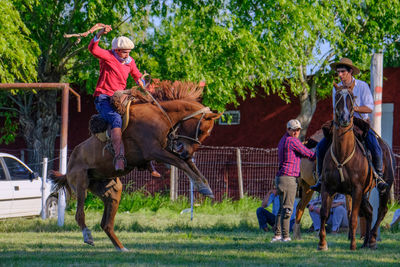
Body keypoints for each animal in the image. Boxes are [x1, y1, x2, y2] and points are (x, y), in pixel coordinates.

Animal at [49, 81, 222, 251]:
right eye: (202, 130)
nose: (187, 152)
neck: (159, 116)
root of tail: (68, 168)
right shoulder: (154, 151)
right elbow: (181, 163)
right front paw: (202, 187)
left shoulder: (166, 151)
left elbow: (189, 164)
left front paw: (206, 188)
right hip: (81, 185)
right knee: (80, 215)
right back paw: (88, 236)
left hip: (112, 190)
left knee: (106, 224)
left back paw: (121, 248)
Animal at [318, 82, 396, 251]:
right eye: (337, 96)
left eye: (352, 97)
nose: (344, 118)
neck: (343, 153)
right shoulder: (327, 187)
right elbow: (324, 213)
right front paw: (322, 244)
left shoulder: (357, 189)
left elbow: (353, 217)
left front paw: (352, 244)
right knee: (369, 212)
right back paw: (366, 242)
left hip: (384, 188)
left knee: (381, 210)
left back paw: (372, 240)